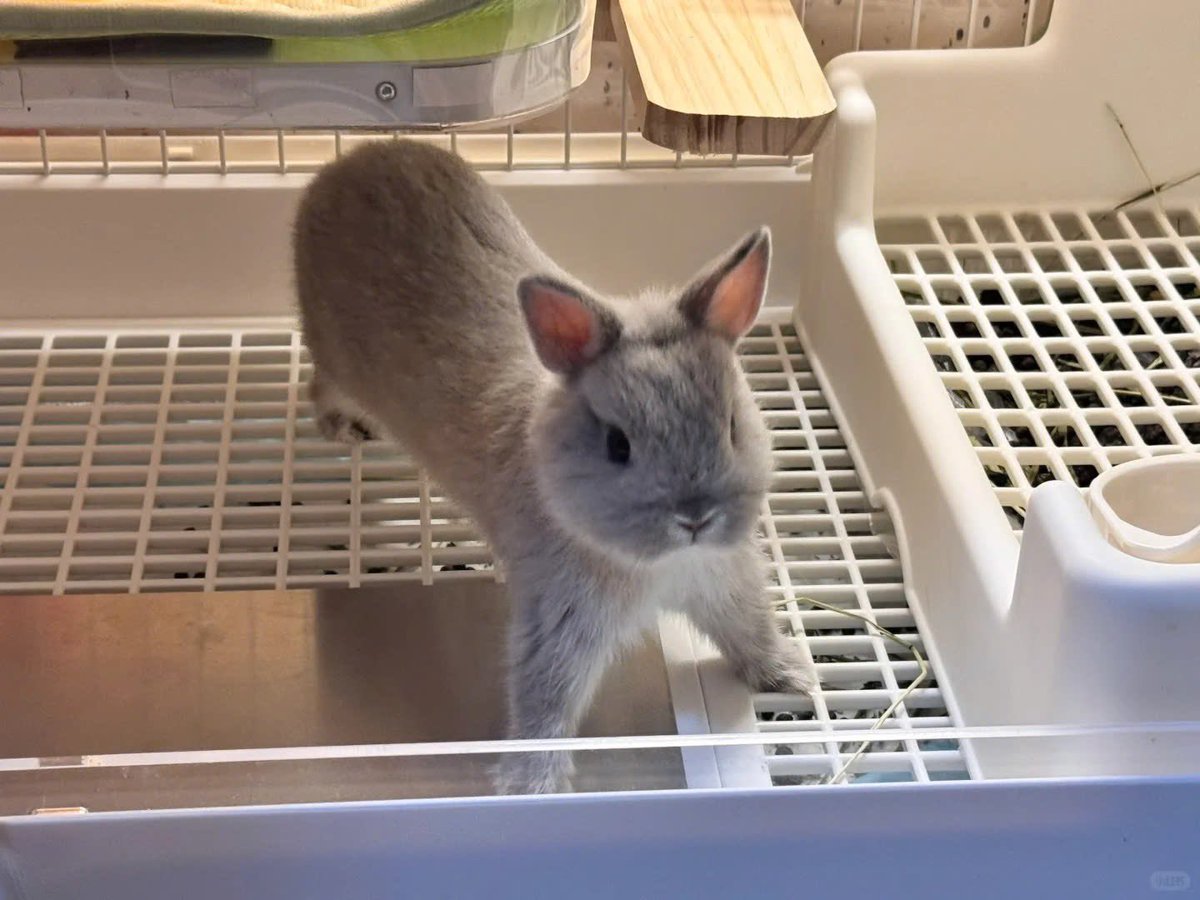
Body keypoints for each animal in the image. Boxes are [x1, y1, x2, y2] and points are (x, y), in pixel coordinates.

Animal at [293, 140, 817, 795]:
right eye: (618, 445)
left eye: (730, 425)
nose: (695, 518)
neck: (657, 563)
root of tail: (346, 164)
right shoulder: (558, 621)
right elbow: (546, 700)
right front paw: (529, 783)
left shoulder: (724, 580)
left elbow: (750, 631)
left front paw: (794, 676)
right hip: (331, 356)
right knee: (321, 385)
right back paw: (345, 428)